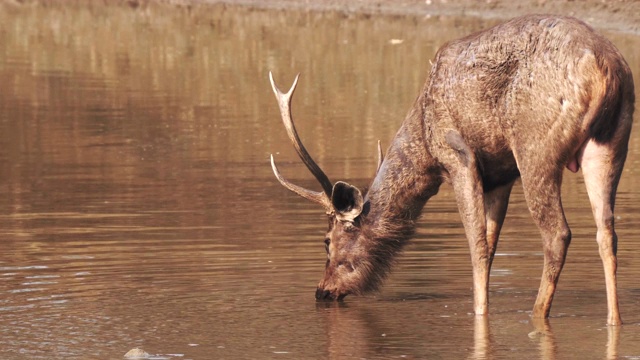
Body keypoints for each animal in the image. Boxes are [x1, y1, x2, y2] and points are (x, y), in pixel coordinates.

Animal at [268, 14, 632, 324]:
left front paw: (480, 314)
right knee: (607, 232)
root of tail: (604, 69)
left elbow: (478, 245)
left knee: (558, 233)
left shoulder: (458, 156)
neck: (423, 139)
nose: (322, 291)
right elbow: (491, 242)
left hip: (535, 148)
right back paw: (614, 319)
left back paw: (537, 314)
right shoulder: (501, 174)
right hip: (611, 144)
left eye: (327, 241)